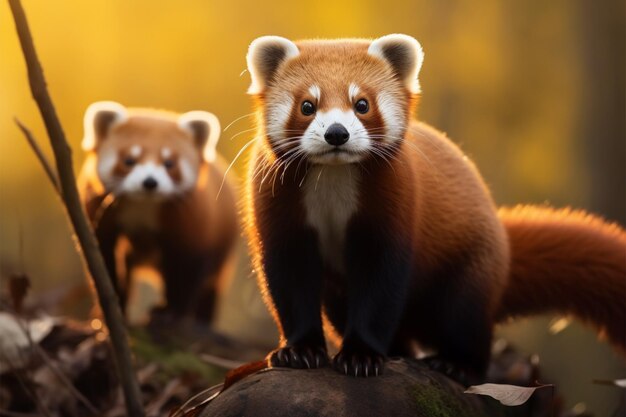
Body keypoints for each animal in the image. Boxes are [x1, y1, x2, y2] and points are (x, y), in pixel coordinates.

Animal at [76, 102, 236, 324]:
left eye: (169, 163)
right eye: (129, 160)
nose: (150, 182)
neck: (144, 205)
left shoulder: (192, 223)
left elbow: (188, 268)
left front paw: (171, 311)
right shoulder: (100, 210)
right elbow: (104, 261)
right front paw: (113, 309)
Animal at [240, 35, 624, 380]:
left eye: (362, 103)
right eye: (307, 105)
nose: (336, 133)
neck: (333, 186)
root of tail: (504, 246)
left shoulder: (395, 209)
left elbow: (380, 290)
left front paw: (362, 355)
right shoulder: (279, 214)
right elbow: (290, 286)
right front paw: (299, 351)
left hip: (469, 270)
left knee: (465, 320)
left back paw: (457, 363)